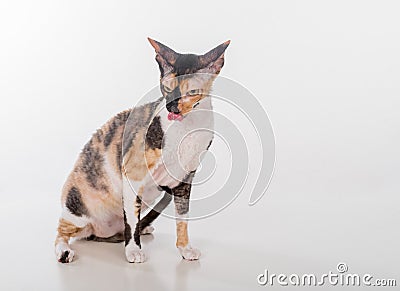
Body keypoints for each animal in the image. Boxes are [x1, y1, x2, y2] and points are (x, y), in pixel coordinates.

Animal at [54, 37, 230, 264]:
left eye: (191, 92)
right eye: (166, 88)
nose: (172, 108)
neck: (188, 128)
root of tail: (97, 231)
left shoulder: (185, 179)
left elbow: (183, 217)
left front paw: (185, 248)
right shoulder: (132, 176)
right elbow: (132, 222)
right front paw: (133, 250)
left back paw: (142, 228)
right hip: (78, 206)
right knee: (62, 232)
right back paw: (64, 250)